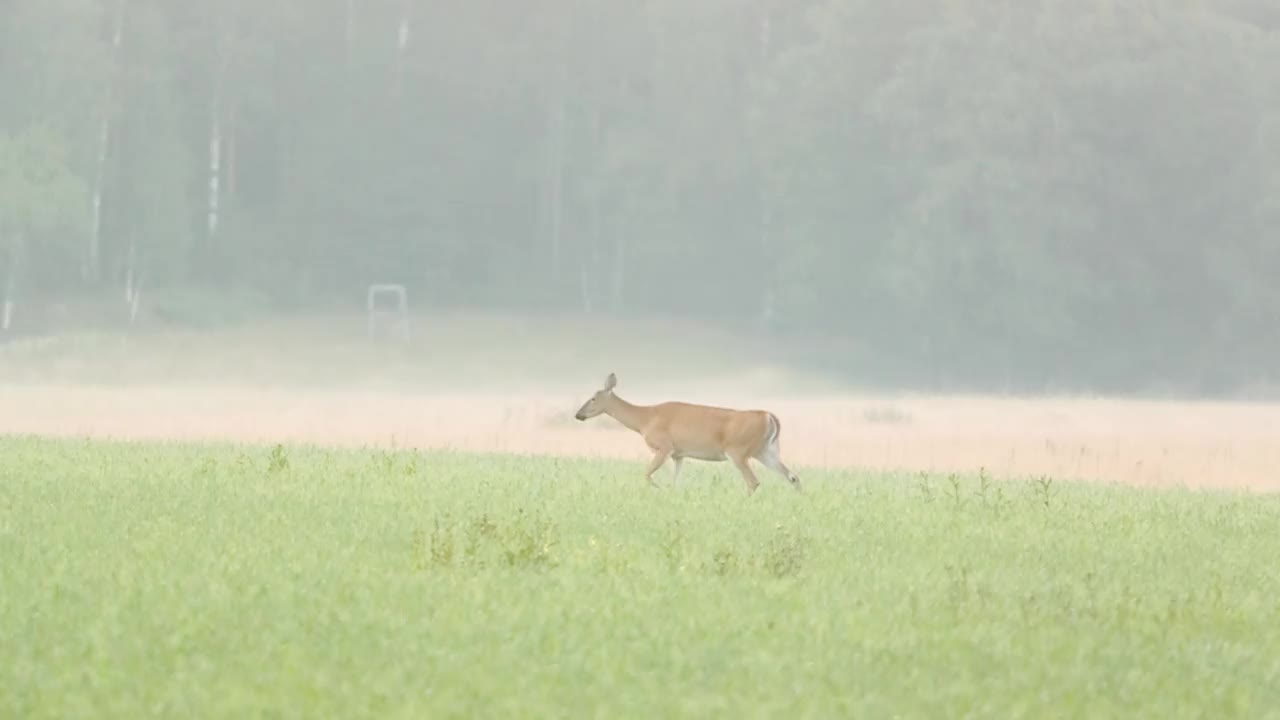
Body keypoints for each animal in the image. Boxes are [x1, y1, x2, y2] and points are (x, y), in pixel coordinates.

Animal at [573, 368, 798, 491]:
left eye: (593, 398)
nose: (578, 415)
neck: (645, 420)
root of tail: (768, 416)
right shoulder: (678, 454)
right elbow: (675, 481)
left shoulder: (663, 446)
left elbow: (647, 475)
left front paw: (660, 490)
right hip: (766, 451)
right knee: (792, 476)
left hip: (738, 451)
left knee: (753, 481)